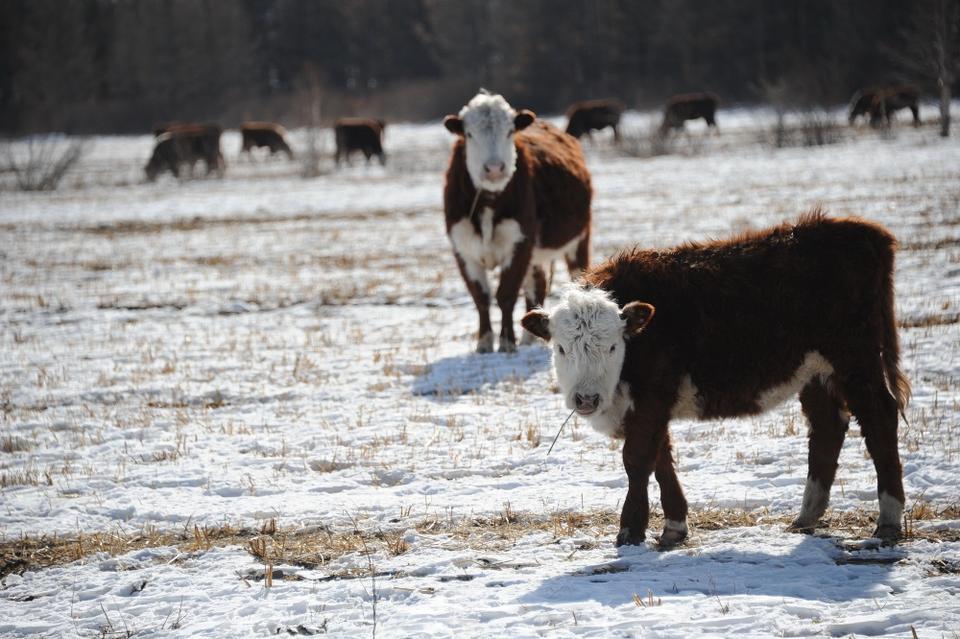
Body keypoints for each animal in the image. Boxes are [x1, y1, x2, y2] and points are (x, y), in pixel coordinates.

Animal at [444, 89, 592, 356]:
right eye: (469, 134)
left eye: (509, 131)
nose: (494, 168)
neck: (489, 202)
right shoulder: (463, 249)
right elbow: (480, 296)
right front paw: (484, 343)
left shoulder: (520, 243)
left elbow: (505, 294)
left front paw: (506, 342)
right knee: (537, 287)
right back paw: (529, 338)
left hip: (579, 239)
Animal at [524, 214, 908, 552]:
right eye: (560, 348)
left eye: (613, 346)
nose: (586, 399)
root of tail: (867, 233)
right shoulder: (652, 405)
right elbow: (661, 458)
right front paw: (674, 526)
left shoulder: (651, 397)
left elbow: (637, 458)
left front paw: (630, 531)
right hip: (816, 370)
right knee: (827, 426)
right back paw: (806, 517)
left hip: (856, 360)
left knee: (879, 419)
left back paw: (888, 520)